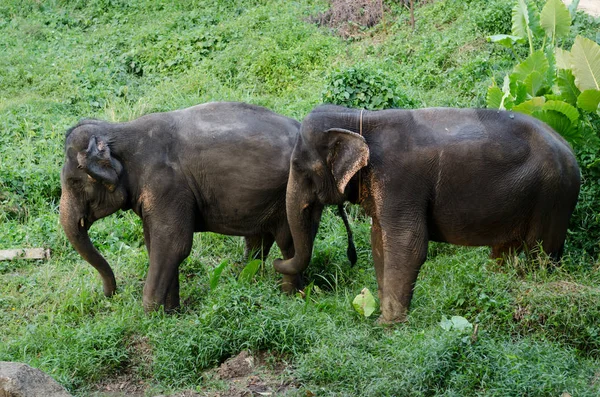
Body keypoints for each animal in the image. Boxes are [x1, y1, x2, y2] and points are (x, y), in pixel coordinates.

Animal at [58, 100, 354, 310]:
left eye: (74, 182)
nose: (109, 294)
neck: (120, 129)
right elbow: (157, 245)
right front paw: (171, 314)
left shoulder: (168, 186)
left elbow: (173, 245)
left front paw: (149, 317)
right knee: (260, 240)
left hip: (294, 191)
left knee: (288, 241)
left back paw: (290, 295)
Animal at [276, 104, 580, 322]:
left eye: (299, 168)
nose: (277, 263)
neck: (358, 118)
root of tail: (570, 148)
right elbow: (378, 241)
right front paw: (379, 317)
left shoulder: (400, 180)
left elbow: (407, 243)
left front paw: (389, 326)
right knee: (504, 251)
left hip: (553, 196)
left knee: (540, 255)